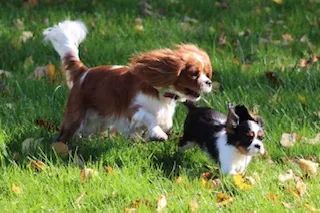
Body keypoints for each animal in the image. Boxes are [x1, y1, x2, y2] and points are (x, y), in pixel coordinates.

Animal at [42, 20, 212, 143]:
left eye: (207, 73)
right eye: (194, 74)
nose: (209, 82)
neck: (160, 92)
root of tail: (84, 72)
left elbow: (161, 124)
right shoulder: (134, 110)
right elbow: (150, 118)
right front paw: (158, 134)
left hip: (94, 121)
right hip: (75, 115)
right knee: (64, 134)